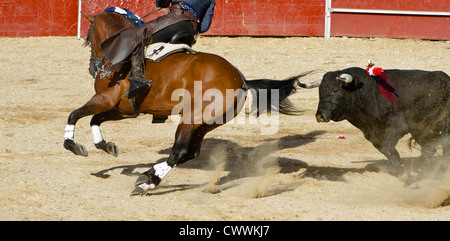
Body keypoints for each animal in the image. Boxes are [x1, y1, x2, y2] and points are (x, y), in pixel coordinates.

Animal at [64, 10, 310, 196]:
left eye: (89, 36)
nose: (93, 67)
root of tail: (240, 79)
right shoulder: (123, 109)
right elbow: (94, 120)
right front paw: (105, 145)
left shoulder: (104, 99)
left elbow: (75, 114)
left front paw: (72, 144)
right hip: (205, 124)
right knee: (190, 152)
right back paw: (148, 176)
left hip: (191, 119)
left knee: (179, 151)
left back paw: (147, 182)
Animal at [312, 67, 450, 187]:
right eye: (320, 91)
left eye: (335, 90)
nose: (320, 116)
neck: (367, 94)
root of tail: (445, 79)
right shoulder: (373, 134)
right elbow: (390, 152)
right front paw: (404, 173)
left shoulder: (397, 126)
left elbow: (388, 148)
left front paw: (407, 177)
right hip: (421, 130)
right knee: (429, 149)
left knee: (443, 150)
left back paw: (436, 176)